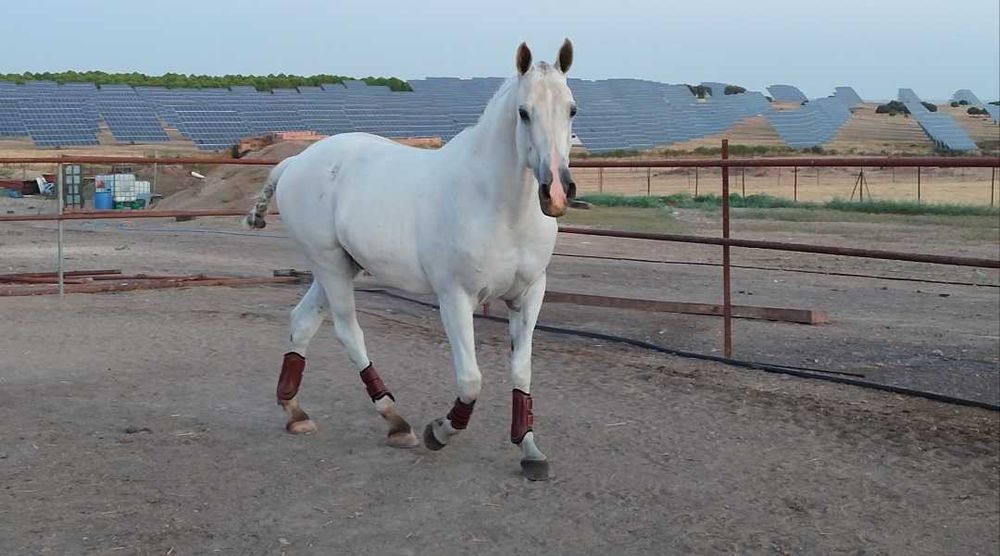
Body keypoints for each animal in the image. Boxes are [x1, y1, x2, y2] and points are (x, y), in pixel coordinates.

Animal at [244, 40, 577, 481]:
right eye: (524, 112)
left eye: (572, 109)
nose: (556, 191)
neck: (498, 206)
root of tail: (296, 162)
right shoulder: (455, 298)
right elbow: (470, 379)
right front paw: (440, 431)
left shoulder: (529, 295)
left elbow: (521, 372)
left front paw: (530, 450)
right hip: (330, 267)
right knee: (349, 333)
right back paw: (396, 421)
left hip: (336, 267)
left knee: (301, 324)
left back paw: (296, 413)